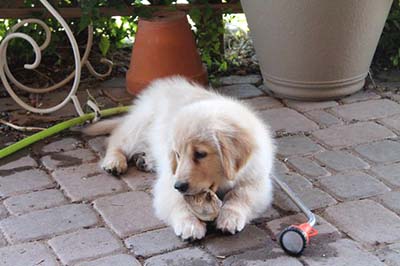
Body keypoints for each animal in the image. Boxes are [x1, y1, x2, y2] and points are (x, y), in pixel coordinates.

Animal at [85, 75, 276, 241]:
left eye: (200, 154)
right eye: (178, 154)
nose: (179, 186)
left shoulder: (257, 180)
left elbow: (240, 195)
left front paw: (230, 217)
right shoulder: (170, 180)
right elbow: (179, 202)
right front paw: (189, 225)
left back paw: (146, 161)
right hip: (139, 126)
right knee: (116, 139)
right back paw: (114, 162)